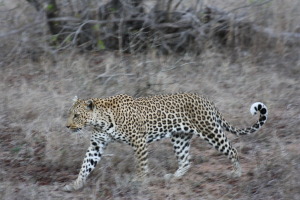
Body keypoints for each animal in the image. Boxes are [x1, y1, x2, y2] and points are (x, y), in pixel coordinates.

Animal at [62, 93, 268, 191]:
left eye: (77, 115)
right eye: (69, 114)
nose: (67, 126)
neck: (101, 120)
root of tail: (206, 99)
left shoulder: (139, 141)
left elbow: (141, 165)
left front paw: (139, 181)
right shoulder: (97, 145)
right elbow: (86, 165)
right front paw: (75, 185)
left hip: (210, 130)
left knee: (232, 150)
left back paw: (237, 173)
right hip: (179, 137)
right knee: (186, 160)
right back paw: (174, 177)